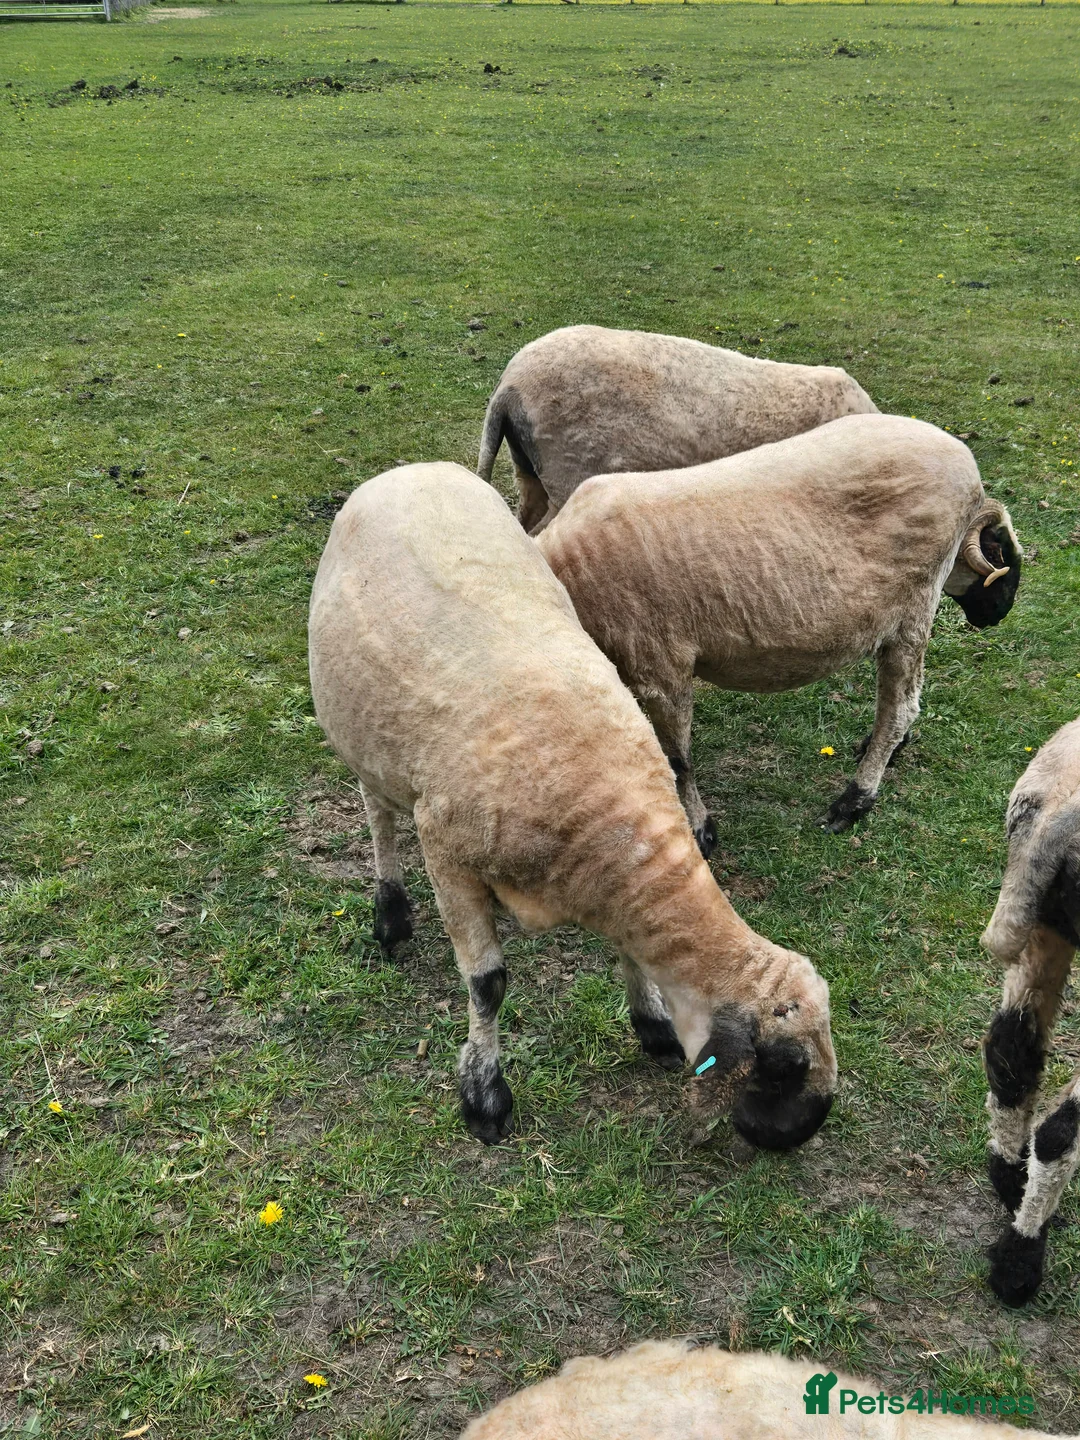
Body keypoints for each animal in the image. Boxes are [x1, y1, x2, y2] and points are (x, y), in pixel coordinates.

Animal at [308, 462, 836, 1150]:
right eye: (783, 1066)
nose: (796, 1137)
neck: (602, 812)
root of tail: (413, 469)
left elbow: (630, 952)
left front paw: (653, 1025)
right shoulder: (448, 856)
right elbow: (487, 986)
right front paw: (485, 1097)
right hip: (363, 737)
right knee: (378, 814)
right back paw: (391, 916)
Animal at [535, 413, 1022, 848]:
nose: (1001, 611)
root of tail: (966, 465)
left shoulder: (660, 667)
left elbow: (678, 761)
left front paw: (700, 831)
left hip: (913, 607)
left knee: (899, 706)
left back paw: (854, 801)